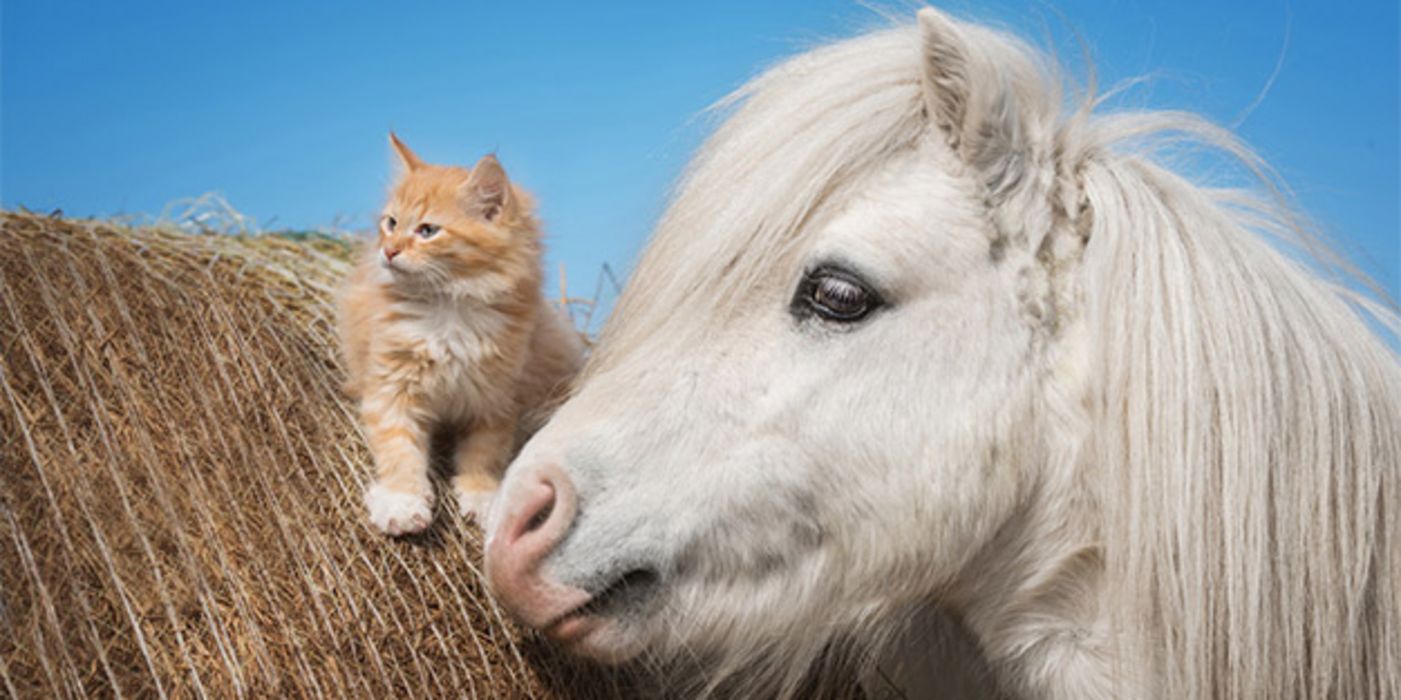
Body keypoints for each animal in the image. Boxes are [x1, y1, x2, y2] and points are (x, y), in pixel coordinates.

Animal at [341, 135, 582, 534]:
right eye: (391, 223)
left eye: (427, 230)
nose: (388, 251)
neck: (450, 309)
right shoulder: (392, 388)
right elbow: (399, 451)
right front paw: (402, 502)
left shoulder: (495, 398)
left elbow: (483, 455)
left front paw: (483, 498)